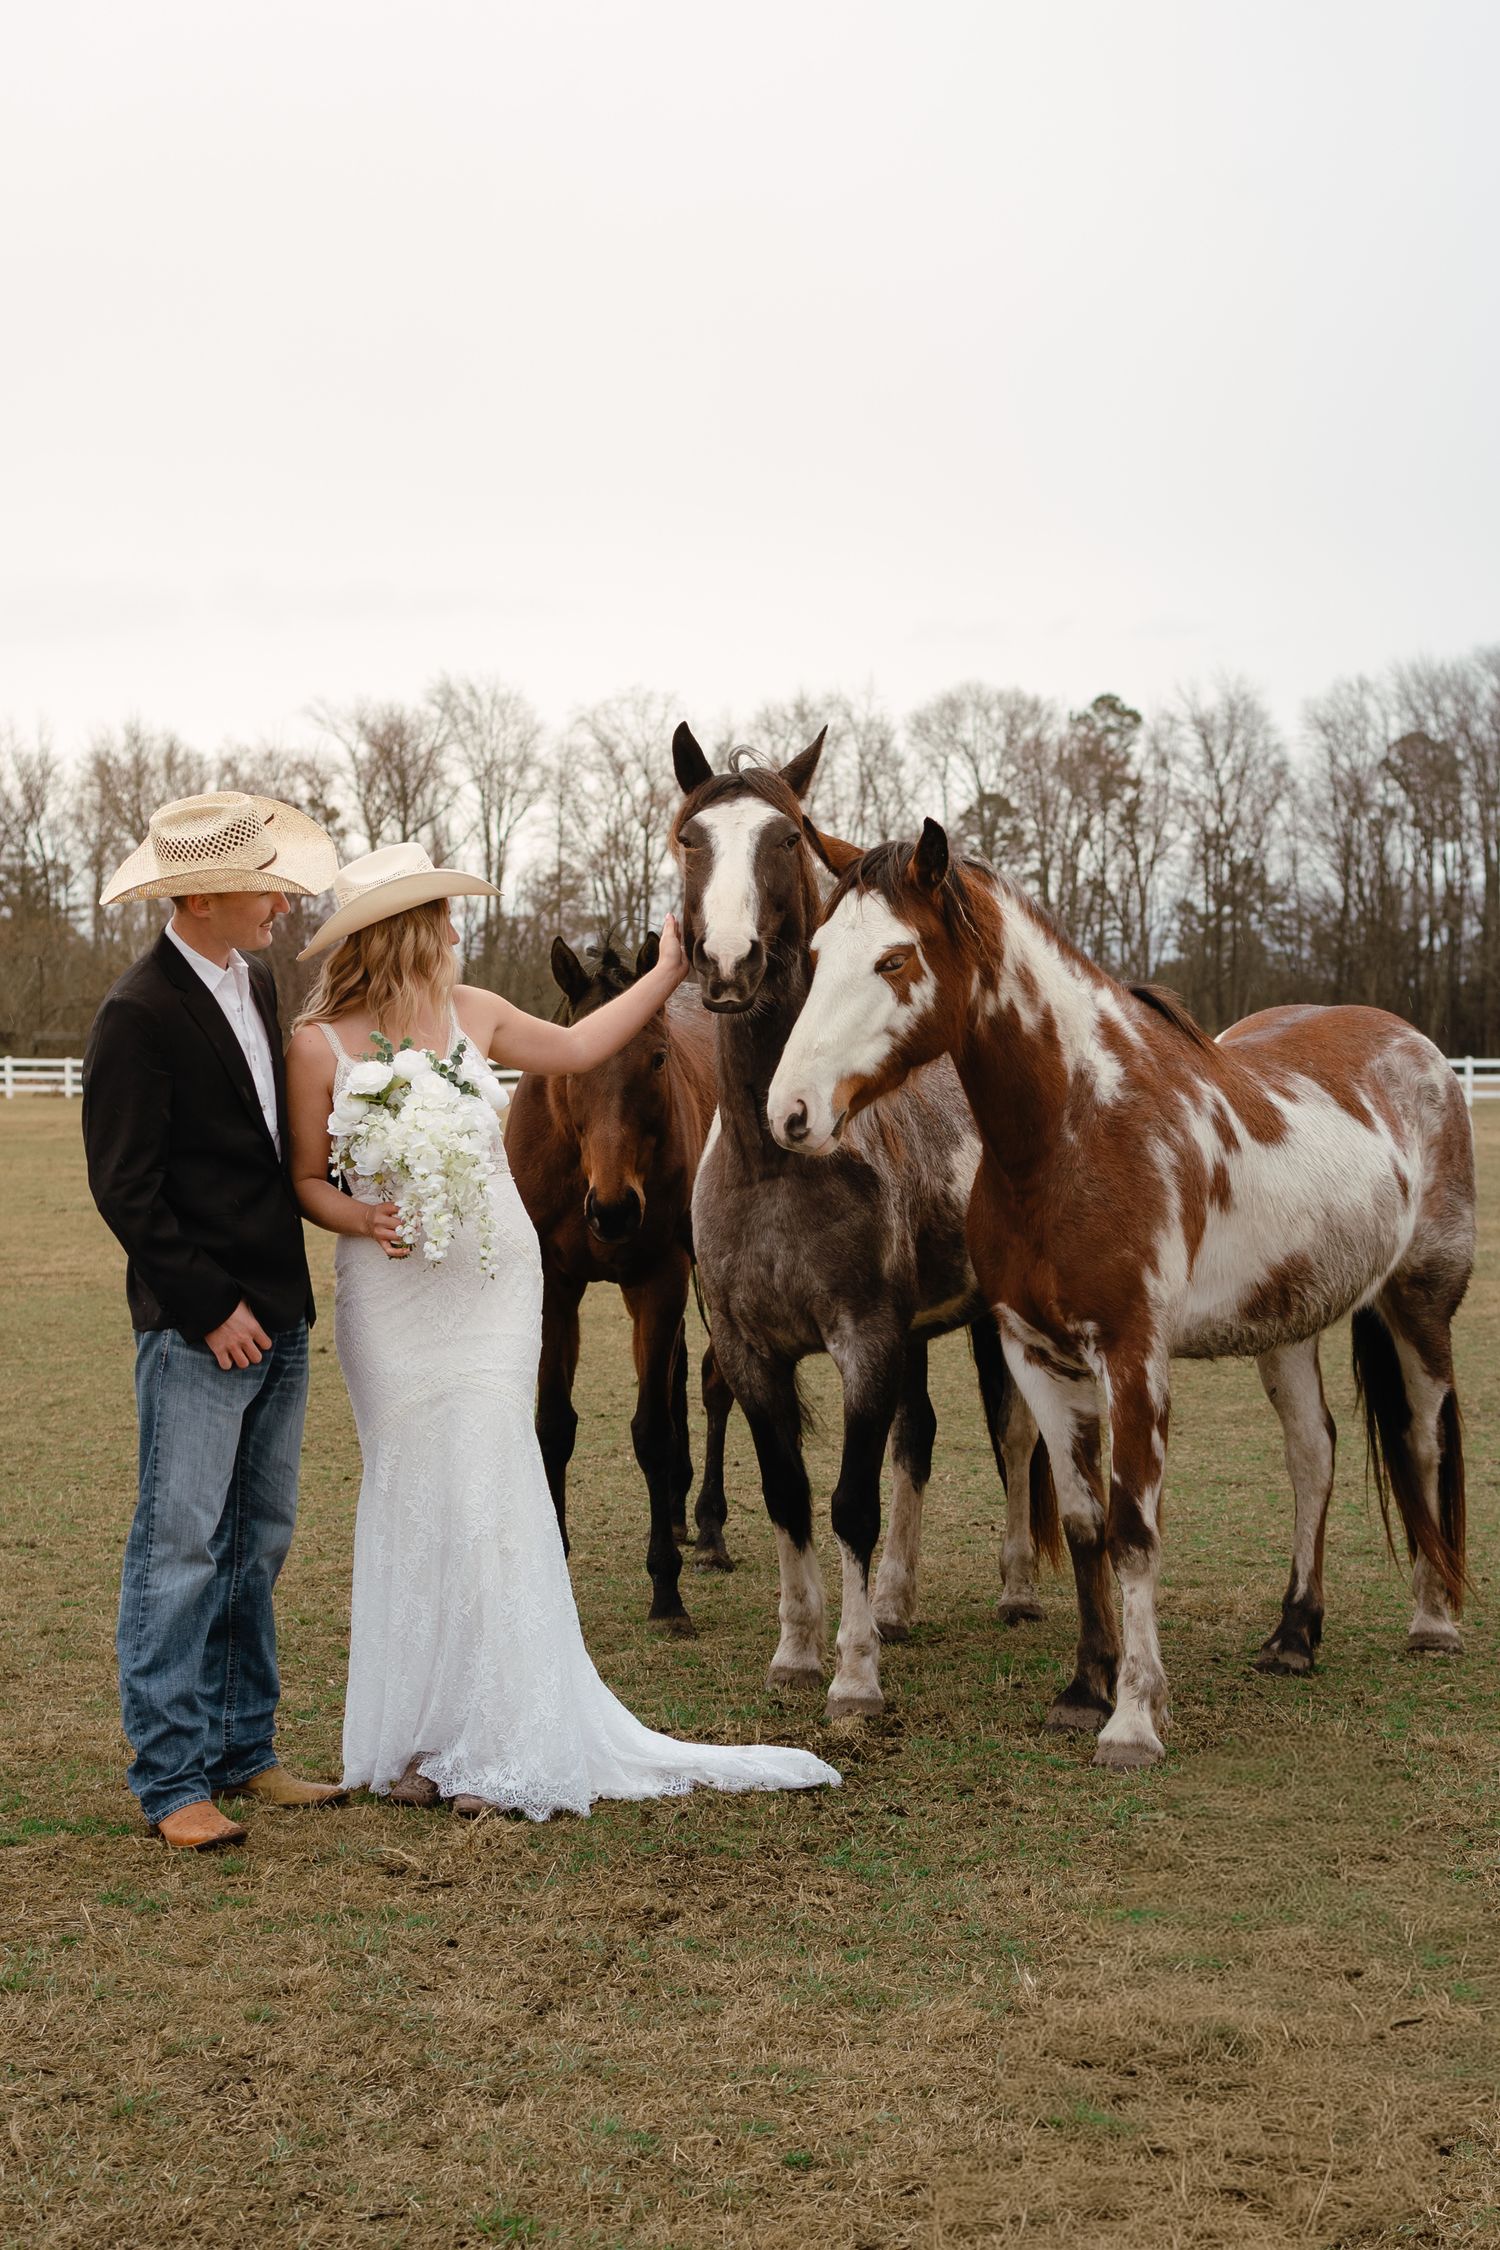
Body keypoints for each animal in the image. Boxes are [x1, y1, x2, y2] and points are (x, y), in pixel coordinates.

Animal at [505, 935, 734, 1635]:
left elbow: (651, 1431)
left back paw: (709, 1529)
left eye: (656, 1058)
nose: (612, 1211)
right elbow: (554, 1423)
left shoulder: (658, 1281)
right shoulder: (555, 1288)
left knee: (714, 1385)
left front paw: (666, 1591)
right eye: (573, 1060)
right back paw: (684, 1515)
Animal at [671, 724, 1057, 1719]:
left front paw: (852, 1677)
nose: (727, 964)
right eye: (691, 838)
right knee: (916, 1442)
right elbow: (789, 1494)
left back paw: (1016, 1588)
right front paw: (798, 1650)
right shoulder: (751, 1352)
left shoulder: (865, 1341)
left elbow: (850, 1501)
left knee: (1013, 1437)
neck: (776, 1160)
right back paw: (894, 1602)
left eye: (784, 836)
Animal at [765, 821, 1475, 1766]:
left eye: (893, 958)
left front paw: (1135, 1718)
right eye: (815, 955)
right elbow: (1083, 1522)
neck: (1079, 1131)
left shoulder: (1135, 1355)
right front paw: (1083, 1689)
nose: (790, 1112)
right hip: (1288, 1327)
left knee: (1425, 1442)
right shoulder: (1037, 1352)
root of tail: (1416, 1048)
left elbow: (1136, 1528)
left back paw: (1433, 1622)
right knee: (1312, 1456)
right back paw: (1294, 1635)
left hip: (1419, 1305)